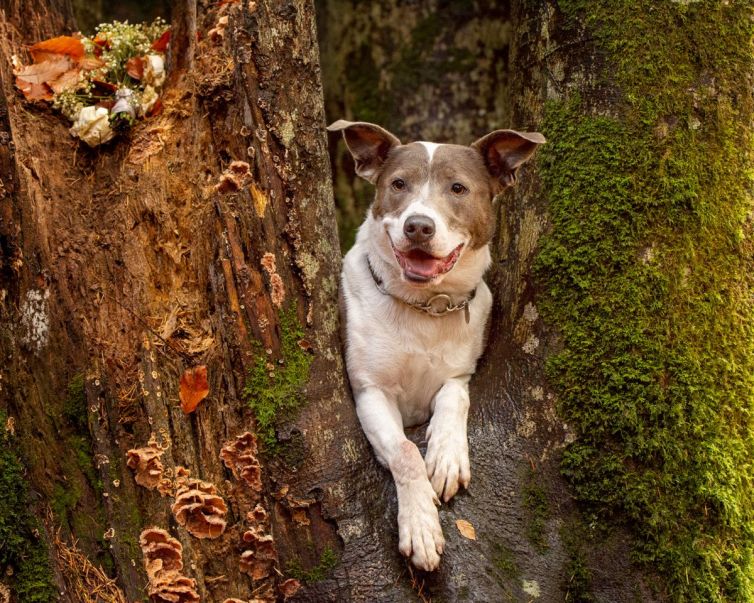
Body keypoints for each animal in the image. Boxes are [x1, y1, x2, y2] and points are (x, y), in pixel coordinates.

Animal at [328, 121, 540, 572]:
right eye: (398, 184)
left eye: (457, 188)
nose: (418, 226)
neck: (426, 306)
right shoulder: (371, 392)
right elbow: (406, 451)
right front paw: (421, 527)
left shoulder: (459, 374)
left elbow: (454, 398)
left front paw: (446, 457)